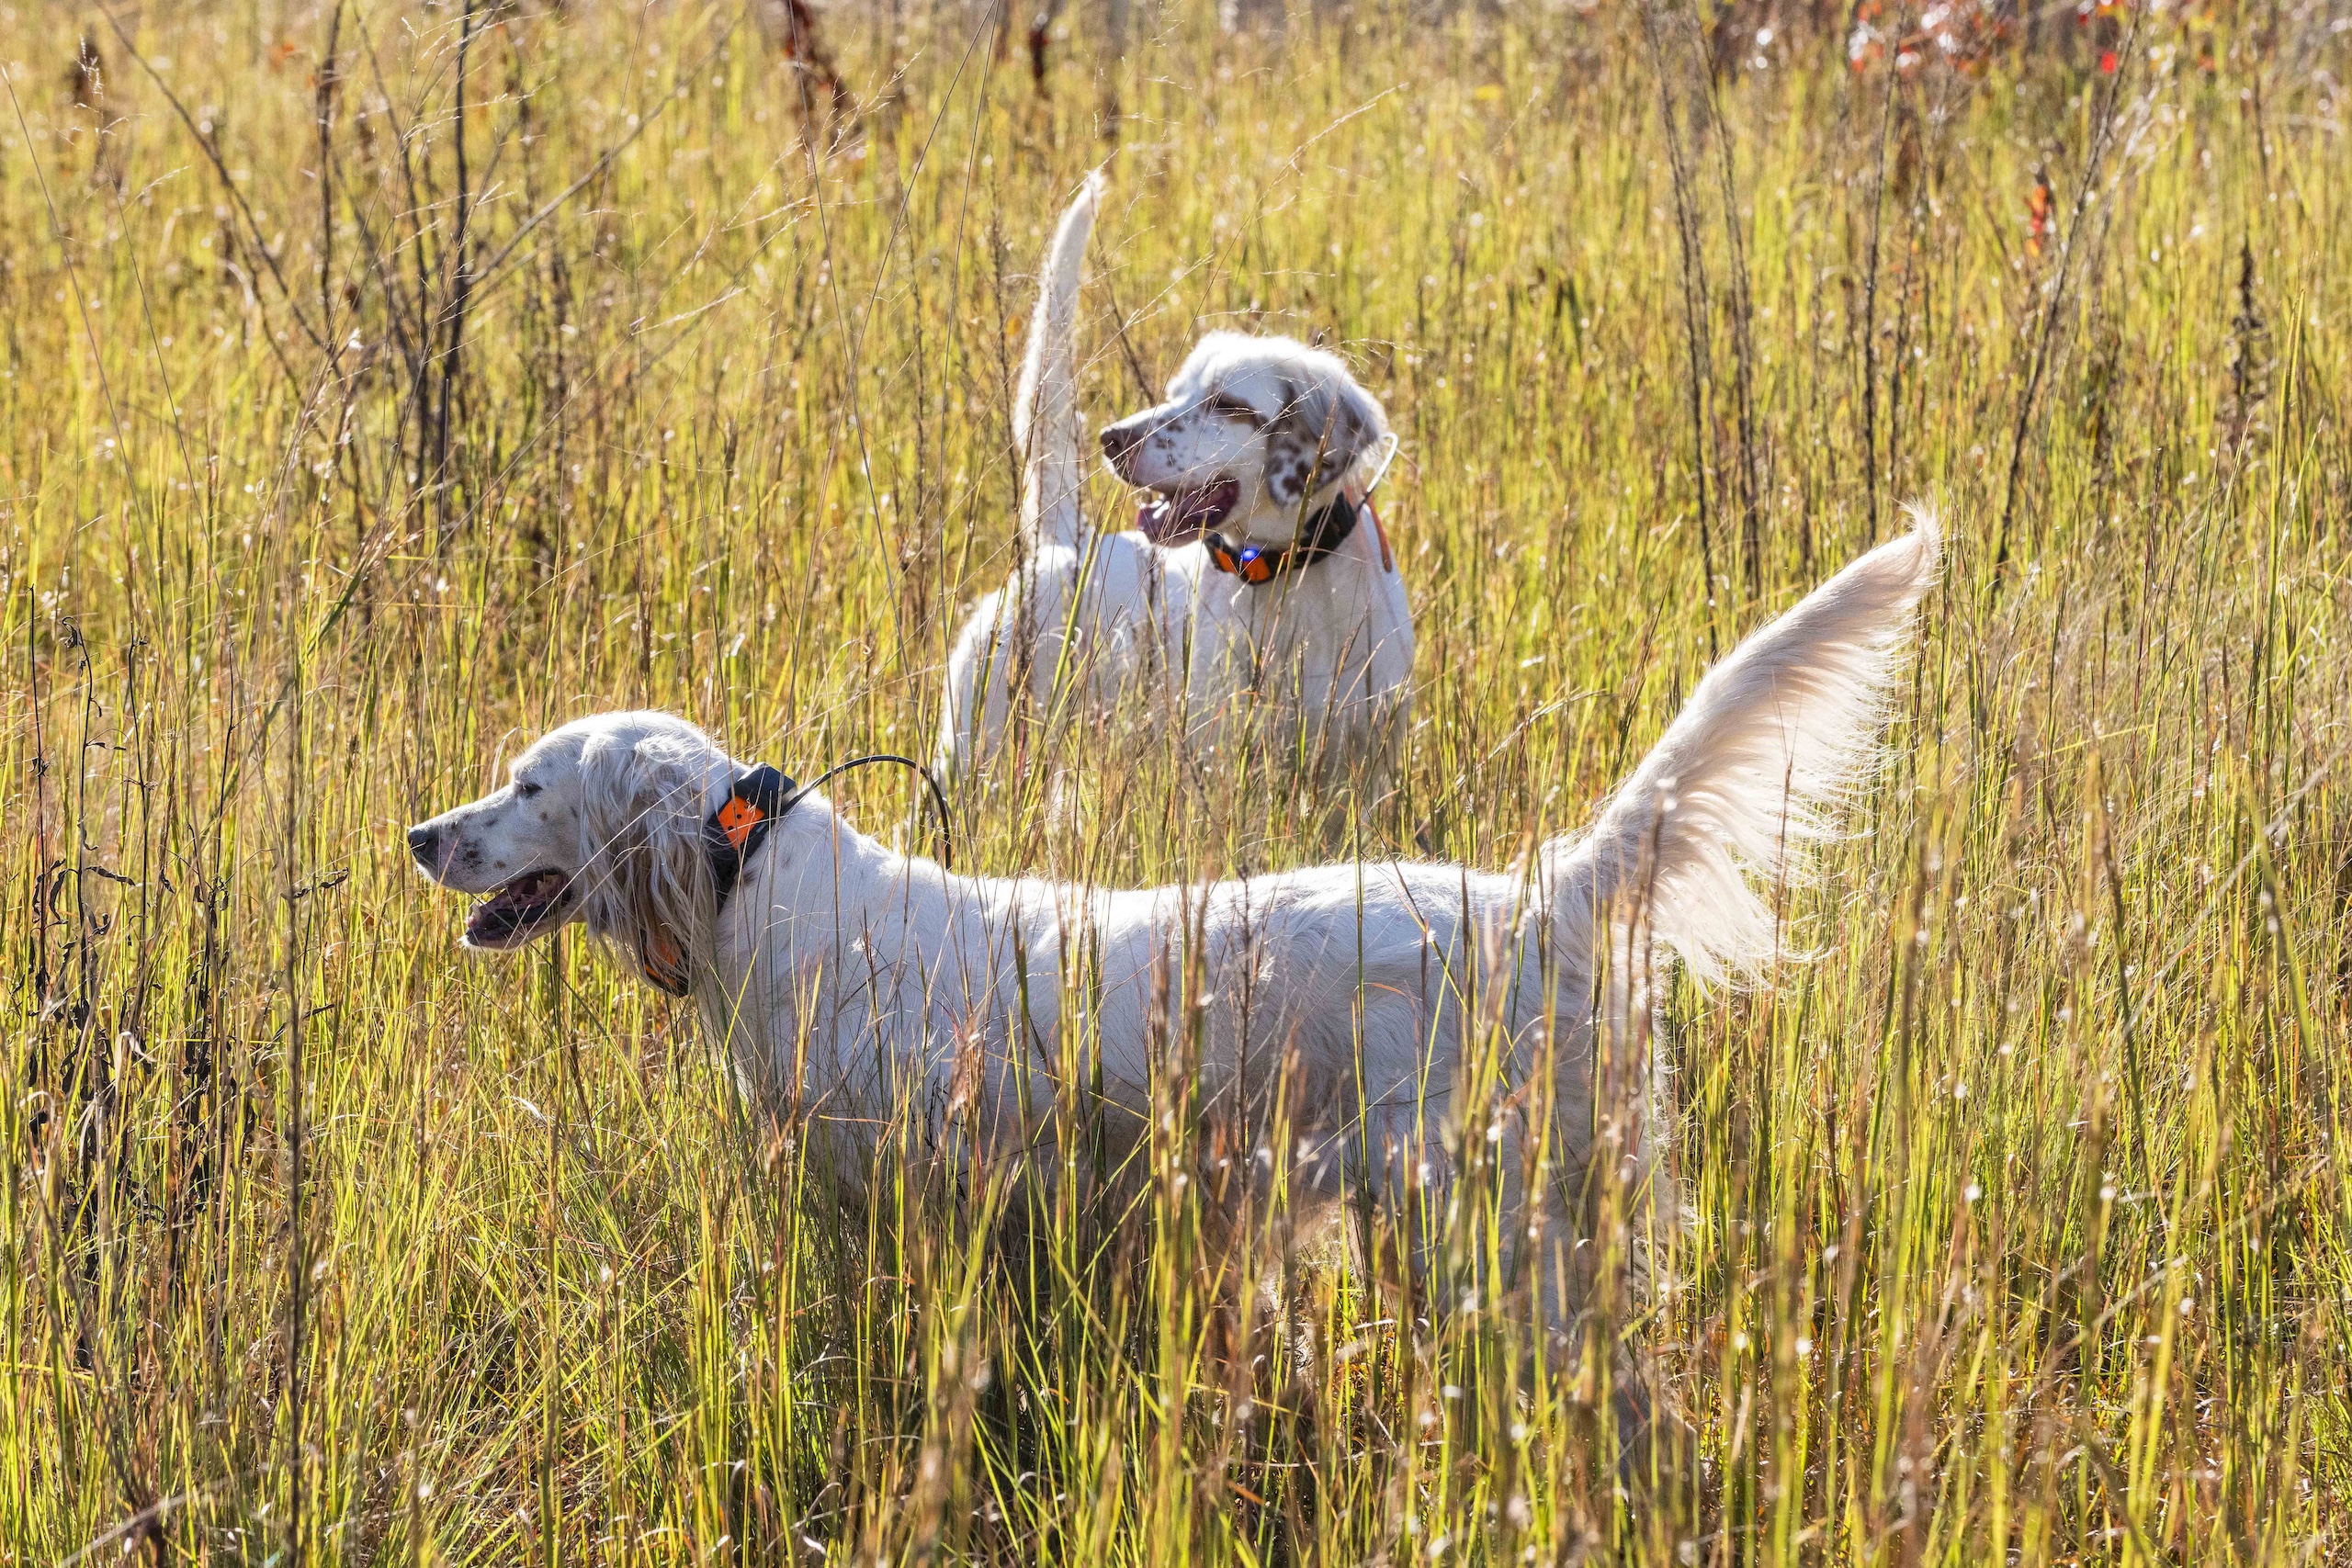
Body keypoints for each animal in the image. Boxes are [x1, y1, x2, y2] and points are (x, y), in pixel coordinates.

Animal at [935, 179, 1411, 804]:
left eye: (1227, 404)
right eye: (1174, 392)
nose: (1112, 439)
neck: (1290, 580)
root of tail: (1068, 541)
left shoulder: (1373, 774)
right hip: (973, 753)